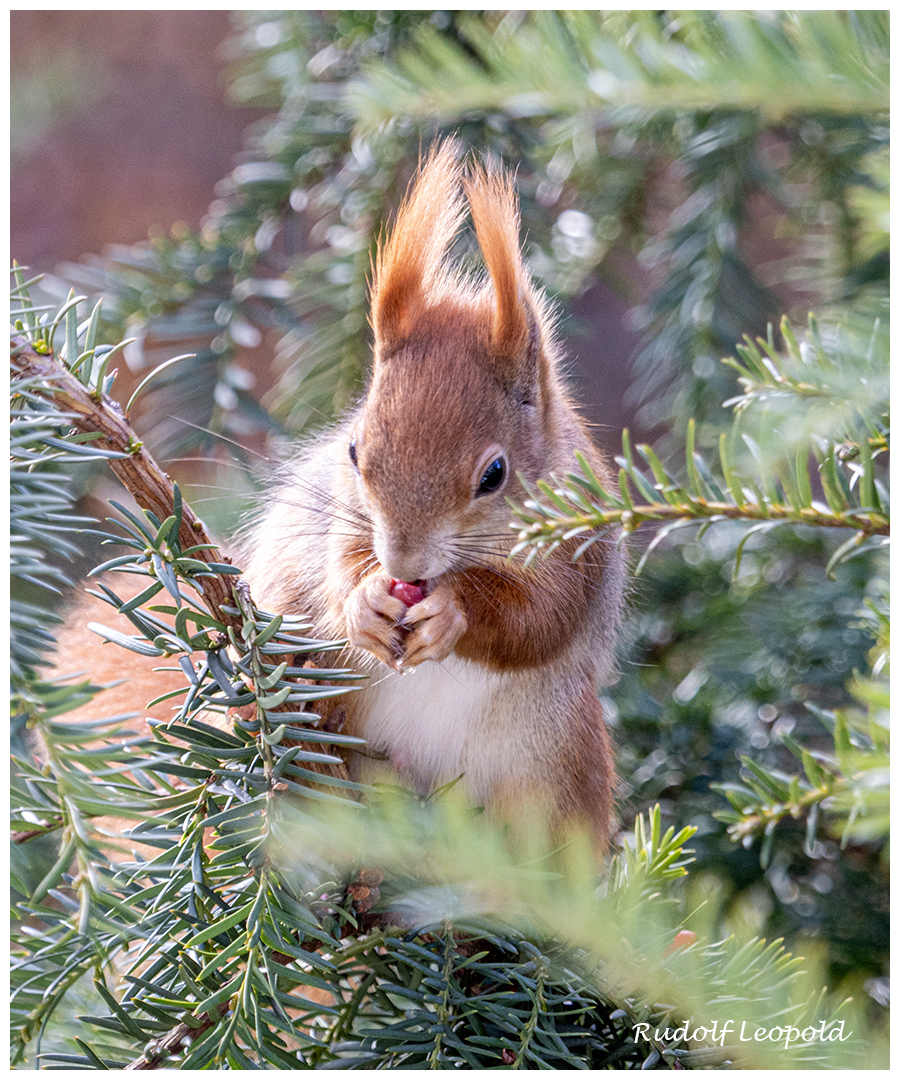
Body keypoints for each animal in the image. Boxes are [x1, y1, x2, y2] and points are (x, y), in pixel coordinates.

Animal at [236, 143, 626, 846]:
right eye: (354, 450)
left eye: (494, 474)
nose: (404, 565)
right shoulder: (345, 517)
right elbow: (339, 564)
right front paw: (364, 601)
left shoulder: (582, 543)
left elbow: (540, 621)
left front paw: (454, 611)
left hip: (559, 764)